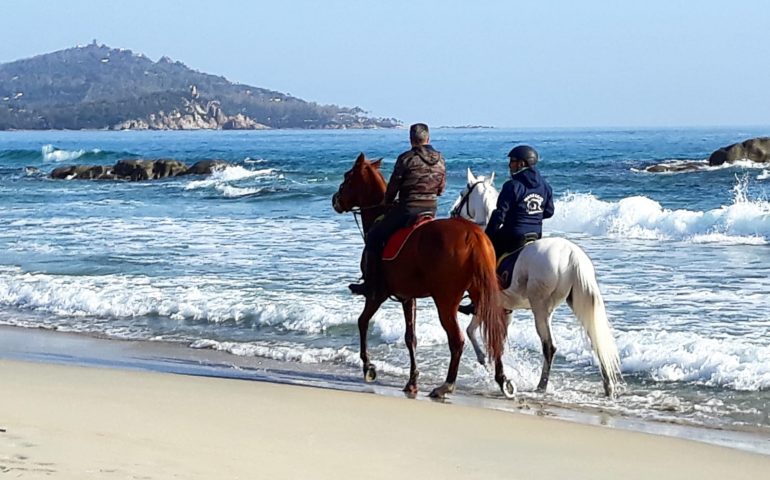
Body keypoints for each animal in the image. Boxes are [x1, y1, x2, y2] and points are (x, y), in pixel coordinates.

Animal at [328, 154, 510, 398]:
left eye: (347, 177)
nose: (335, 199)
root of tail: (472, 235)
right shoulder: (408, 296)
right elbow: (410, 337)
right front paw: (412, 380)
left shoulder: (378, 294)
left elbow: (363, 322)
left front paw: (368, 367)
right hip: (481, 293)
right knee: (495, 332)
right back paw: (502, 379)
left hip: (445, 301)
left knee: (457, 340)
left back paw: (446, 385)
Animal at [448, 169, 620, 398]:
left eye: (462, 193)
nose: (452, 212)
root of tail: (570, 254)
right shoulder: (504, 309)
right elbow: (494, 339)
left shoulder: (487, 304)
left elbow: (472, 331)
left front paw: (486, 362)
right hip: (573, 303)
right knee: (596, 339)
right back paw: (608, 386)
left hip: (540, 307)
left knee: (549, 346)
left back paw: (541, 385)